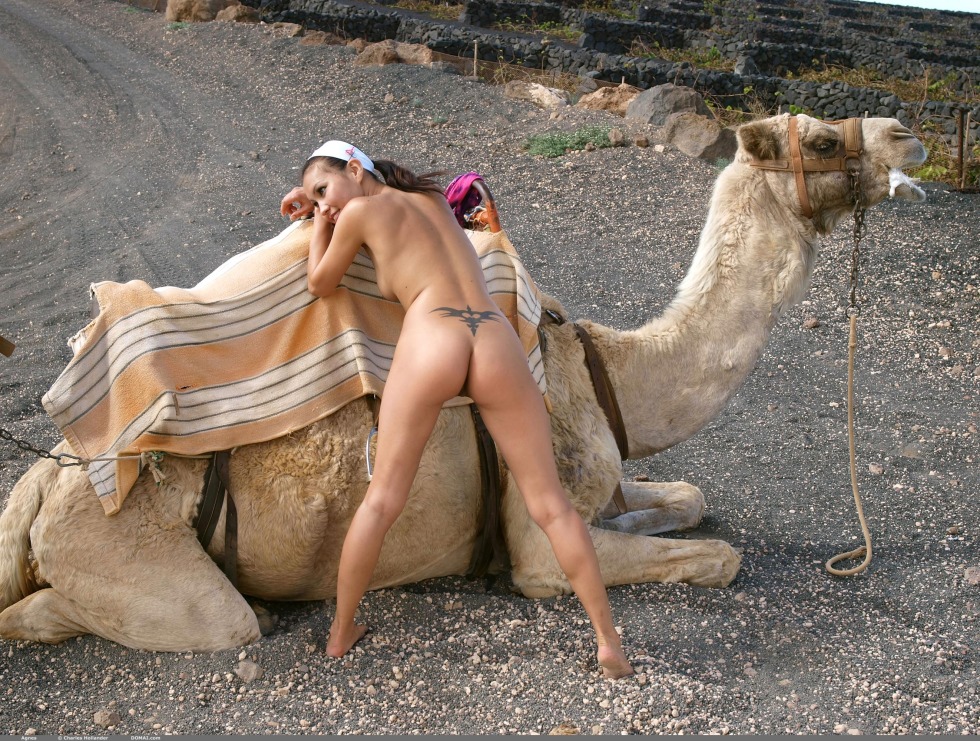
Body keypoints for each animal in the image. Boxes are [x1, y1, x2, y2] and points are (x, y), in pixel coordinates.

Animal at [0, 114, 927, 652]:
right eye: (824, 139)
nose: (908, 134)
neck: (605, 371)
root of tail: (50, 475)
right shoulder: (539, 543)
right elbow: (717, 556)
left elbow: (692, 498)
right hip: (128, 550)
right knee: (166, 619)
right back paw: (259, 613)